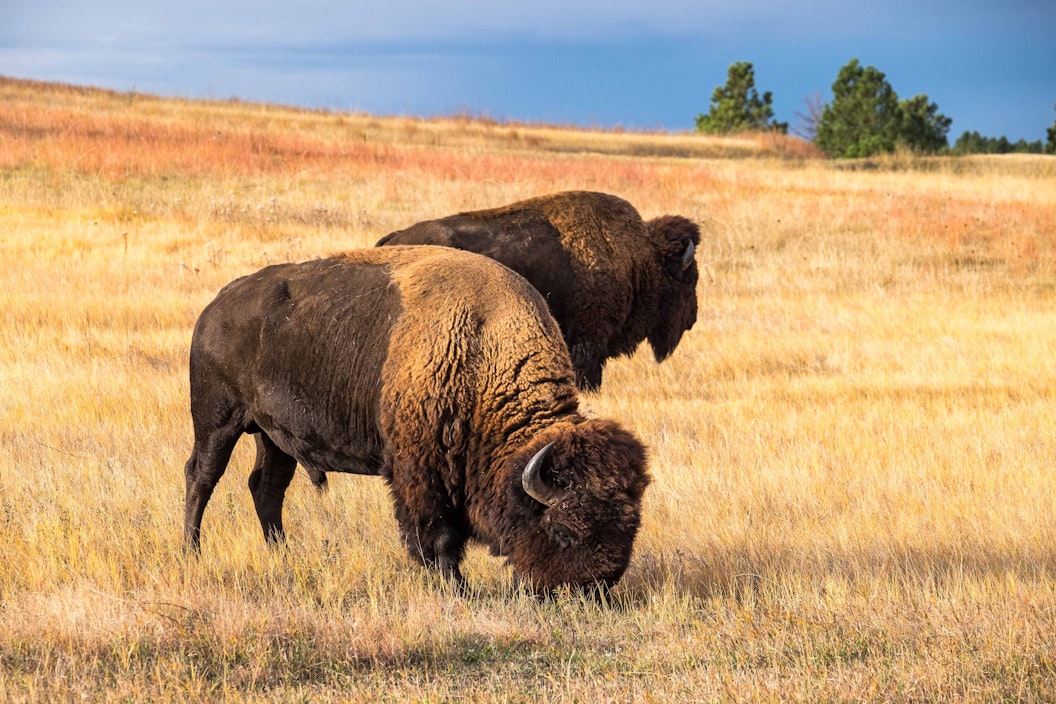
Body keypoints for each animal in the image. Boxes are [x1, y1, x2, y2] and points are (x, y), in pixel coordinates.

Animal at [187, 246, 650, 595]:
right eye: (564, 531)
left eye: (630, 527)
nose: (592, 589)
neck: (481, 350)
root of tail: (215, 306)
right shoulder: (421, 472)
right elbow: (436, 533)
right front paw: (456, 588)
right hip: (217, 422)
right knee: (201, 477)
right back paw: (192, 552)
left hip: (273, 437)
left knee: (266, 488)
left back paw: (282, 554)